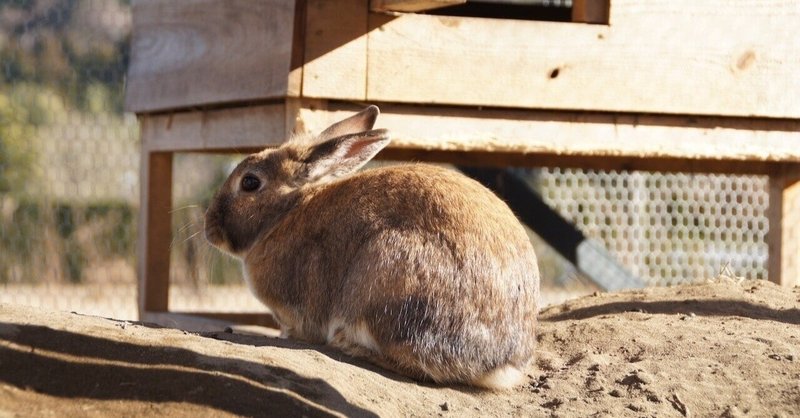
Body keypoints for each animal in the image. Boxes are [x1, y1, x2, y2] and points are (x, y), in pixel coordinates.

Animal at [205, 104, 544, 388]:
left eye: (250, 183)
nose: (209, 229)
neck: (286, 212)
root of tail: (499, 362)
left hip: (387, 273)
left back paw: (349, 345)